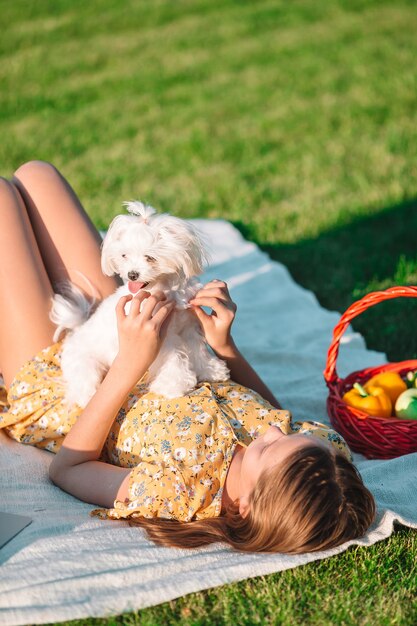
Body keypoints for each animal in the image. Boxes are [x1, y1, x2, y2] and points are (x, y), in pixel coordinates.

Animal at [51, 200, 231, 404]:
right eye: (124, 256)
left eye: (150, 257)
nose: (132, 274)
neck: (164, 290)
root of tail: (75, 331)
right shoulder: (161, 336)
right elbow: (174, 358)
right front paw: (174, 386)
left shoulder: (188, 327)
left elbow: (197, 350)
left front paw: (211, 370)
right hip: (85, 365)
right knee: (81, 386)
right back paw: (86, 397)